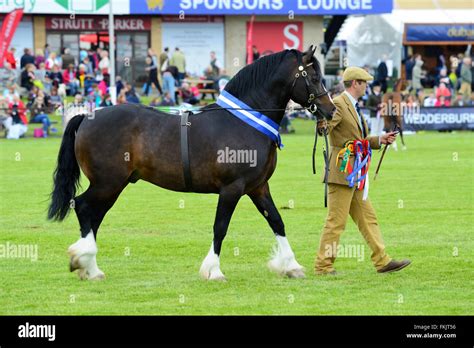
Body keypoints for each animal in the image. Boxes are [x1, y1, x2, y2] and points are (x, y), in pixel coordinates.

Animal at [48, 45, 336, 280]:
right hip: (108, 183)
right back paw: (85, 262)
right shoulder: (232, 188)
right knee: (84, 208)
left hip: (111, 186)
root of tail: (86, 117)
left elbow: (276, 221)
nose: (331, 110)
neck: (244, 120)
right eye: (313, 78)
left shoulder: (258, 187)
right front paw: (214, 270)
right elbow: (220, 227)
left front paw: (291, 265)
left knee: (93, 216)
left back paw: (90, 268)